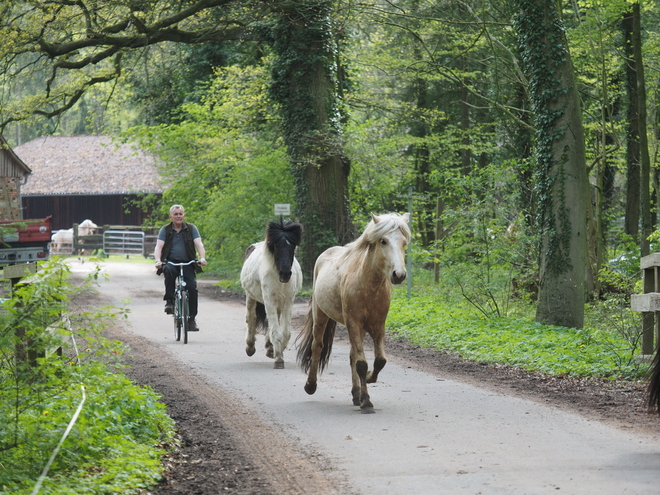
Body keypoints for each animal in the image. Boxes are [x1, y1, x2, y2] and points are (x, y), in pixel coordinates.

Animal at [241, 220, 302, 368]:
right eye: (275, 246)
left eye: (292, 246)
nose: (285, 274)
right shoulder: (269, 300)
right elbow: (276, 331)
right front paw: (278, 359)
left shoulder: (288, 302)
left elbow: (285, 332)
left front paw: (275, 351)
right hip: (251, 297)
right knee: (251, 318)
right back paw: (250, 347)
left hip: (278, 303)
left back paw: (269, 347)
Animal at [296, 213, 410, 414]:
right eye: (383, 241)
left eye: (404, 242)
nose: (399, 275)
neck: (368, 286)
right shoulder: (354, 324)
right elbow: (362, 364)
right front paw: (367, 402)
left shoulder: (378, 326)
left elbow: (379, 360)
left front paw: (369, 381)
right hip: (321, 315)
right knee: (317, 346)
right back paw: (311, 385)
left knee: (352, 356)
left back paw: (356, 394)